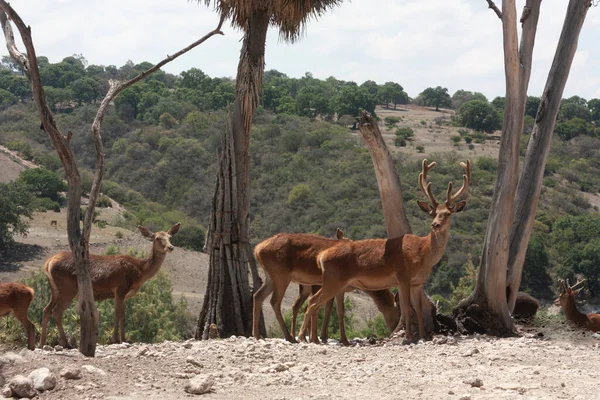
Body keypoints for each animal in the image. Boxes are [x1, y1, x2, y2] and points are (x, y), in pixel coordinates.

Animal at [40, 222, 180, 346]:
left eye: (170, 237)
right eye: (157, 238)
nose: (170, 247)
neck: (140, 272)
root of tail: (48, 263)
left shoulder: (124, 294)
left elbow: (123, 315)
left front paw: (125, 339)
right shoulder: (120, 288)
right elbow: (117, 314)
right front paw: (115, 339)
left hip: (55, 290)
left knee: (47, 309)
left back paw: (42, 343)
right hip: (68, 289)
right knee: (57, 311)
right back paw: (66, 343)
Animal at [252, 228, 398, 344]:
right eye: (397, 310)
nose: (394, 327)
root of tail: (257, 249)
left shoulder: (340, 289)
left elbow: (336, 310)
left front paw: (337, 339)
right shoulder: (327, 285)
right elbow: (322, 308)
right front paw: (318, 337)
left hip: (271, 277)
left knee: (259, 296)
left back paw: (258, 335)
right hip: (281, 276)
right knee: (275, 301)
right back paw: (289, 337)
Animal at [298, 159, 472, 344]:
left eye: (447, 213)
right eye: (432, 213)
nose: (435, 224)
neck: (423, 255)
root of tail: (322, 256)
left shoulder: (418, 282)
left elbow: (418, 308)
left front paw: (423, 335)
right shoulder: (402, 276)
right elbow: (405, 307)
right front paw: (409, 337)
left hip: (335, 281)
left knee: (316, 303)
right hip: (334, 279)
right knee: (313, 301)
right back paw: (303, 337)